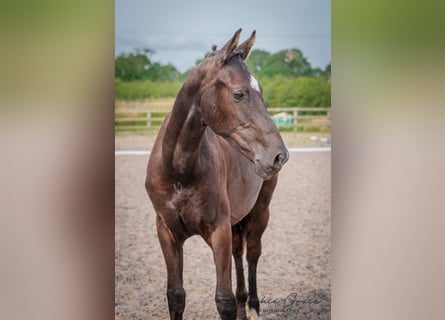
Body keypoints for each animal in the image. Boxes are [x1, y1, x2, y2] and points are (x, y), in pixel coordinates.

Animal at [144, 28, 286, 320]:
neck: (179, 171)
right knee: (239, 252)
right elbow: (175, 295)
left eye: (261, 90)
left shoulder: (218, 231)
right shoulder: (167, 232)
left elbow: (224, 300)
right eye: (239, 94)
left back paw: (253, 306)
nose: (279, 155)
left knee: (252, 254)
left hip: (260, 211)